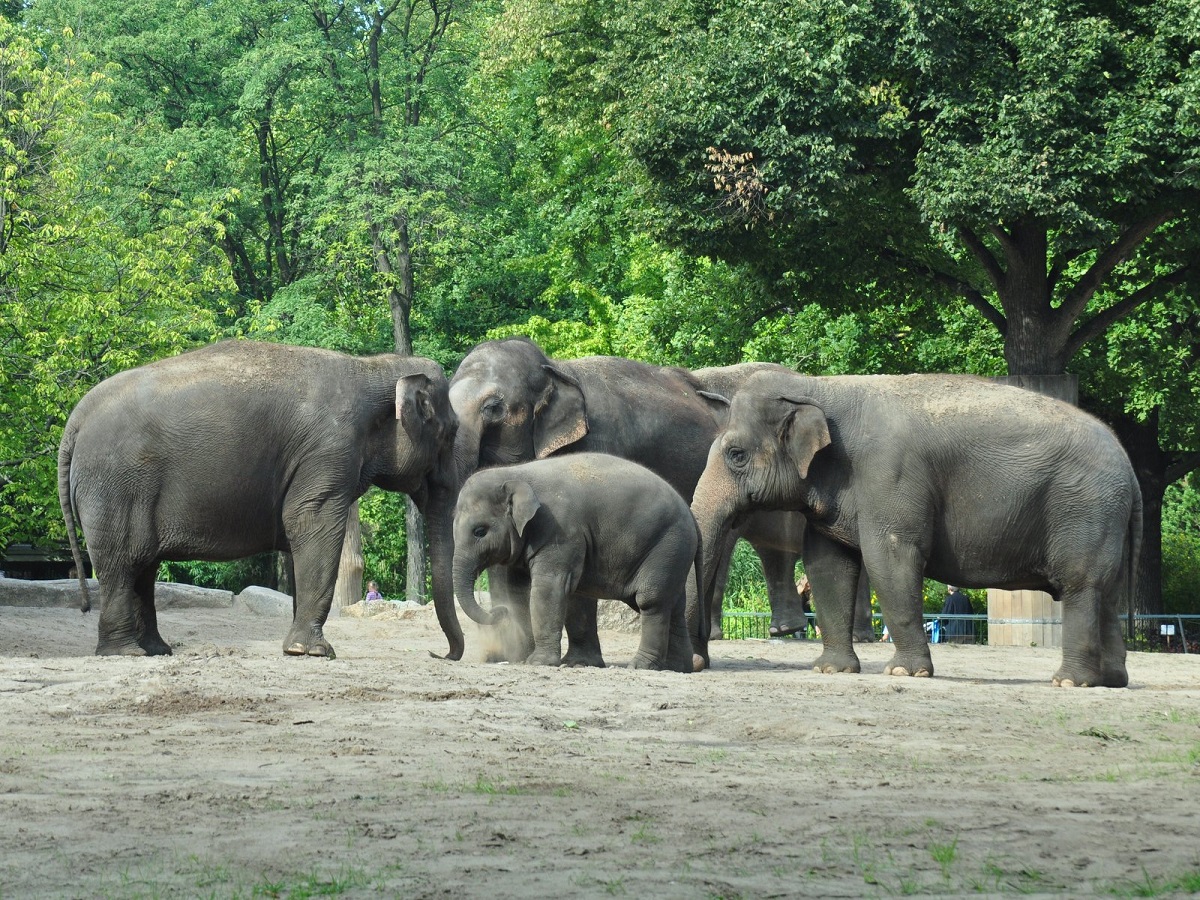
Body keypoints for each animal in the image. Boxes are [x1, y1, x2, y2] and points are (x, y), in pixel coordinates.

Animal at [55, 340, 458, 657]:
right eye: (451, 432)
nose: (438, 654)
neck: (372, 366)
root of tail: (76, 418)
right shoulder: (329, 451)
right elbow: (310, 521)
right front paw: (313, 652)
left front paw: (298, 648)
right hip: (114, 486)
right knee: (123, 564)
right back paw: (126, 652)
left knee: (143, 566)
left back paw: (156, 650)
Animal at [451, 453, 700, 672]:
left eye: (479, 531)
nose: (500, 611)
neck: (515, 473)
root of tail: (690, 514)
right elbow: (545, 592)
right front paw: (570, 663)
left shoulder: (560, 531)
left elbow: (549, 589)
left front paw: (537, 662)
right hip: (675, 552)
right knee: (673, 605)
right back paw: (677, 667)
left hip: (667, 545)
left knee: (651, 601)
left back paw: (641, 666)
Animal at [691, 369, 1137, 686]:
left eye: (736, 454)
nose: (697, 662)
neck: (819, 386)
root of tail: (1128, 466)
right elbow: (826, 564)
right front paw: (830, 670)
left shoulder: (889, 474)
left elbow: (891, 557)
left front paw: (904, 673)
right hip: (1105, 517)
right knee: (1109, 594)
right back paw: (1111, 681)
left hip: (1083, 509)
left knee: (1082, 586)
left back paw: (1069, 682)